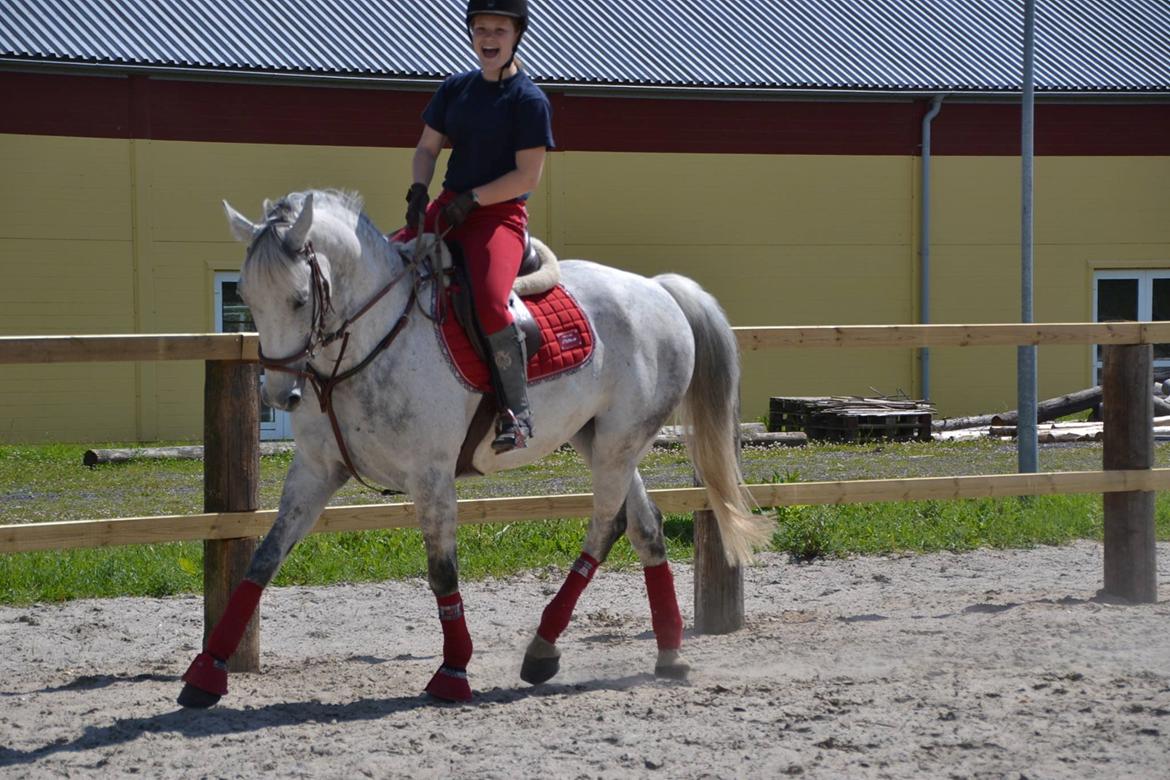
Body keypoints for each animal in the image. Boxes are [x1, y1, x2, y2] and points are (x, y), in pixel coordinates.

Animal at [177, 189, 772, 706]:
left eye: (300, 299)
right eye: (246, 298)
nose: (281, 395)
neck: (371, 343)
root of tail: (657, 289)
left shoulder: (431, 476)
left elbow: (443, 571)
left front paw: (453, 672)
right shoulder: (315, 471)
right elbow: (263, 559)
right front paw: (206, 673)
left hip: (619, 443)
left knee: (605, 525)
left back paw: (543, 649)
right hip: (600, 441)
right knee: (644, 527)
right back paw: (665, 653)